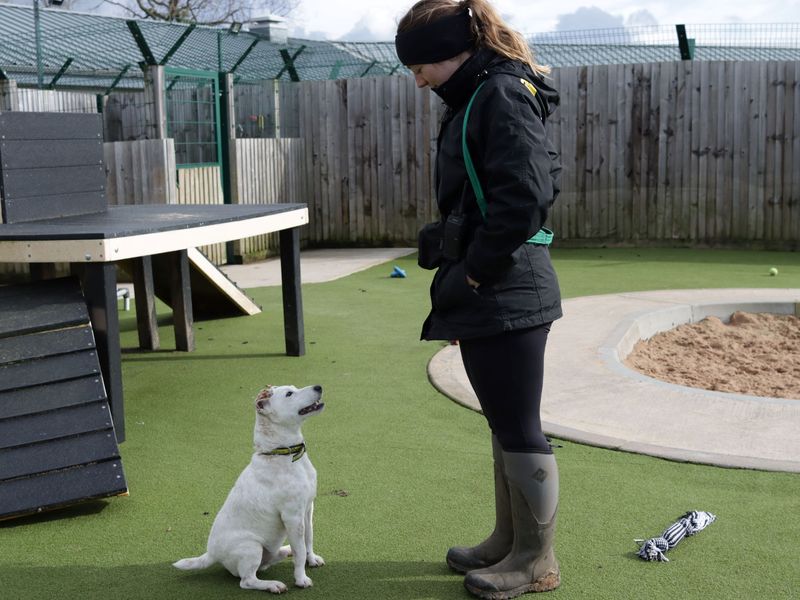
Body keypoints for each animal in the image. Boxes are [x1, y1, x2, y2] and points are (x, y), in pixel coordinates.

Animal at [174, 384, 324, 592]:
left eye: (294, 388)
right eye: (289, 394)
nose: (319, 386)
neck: (283, 453)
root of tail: (211, 554)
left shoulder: (308, 509)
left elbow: (308, 539)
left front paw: (312, 559)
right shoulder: (292, 516)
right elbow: (300, 550)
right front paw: (301, 579)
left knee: (269, 560)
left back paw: (285, 551)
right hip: (251, 547)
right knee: (247, 580)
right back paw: (273, 585)